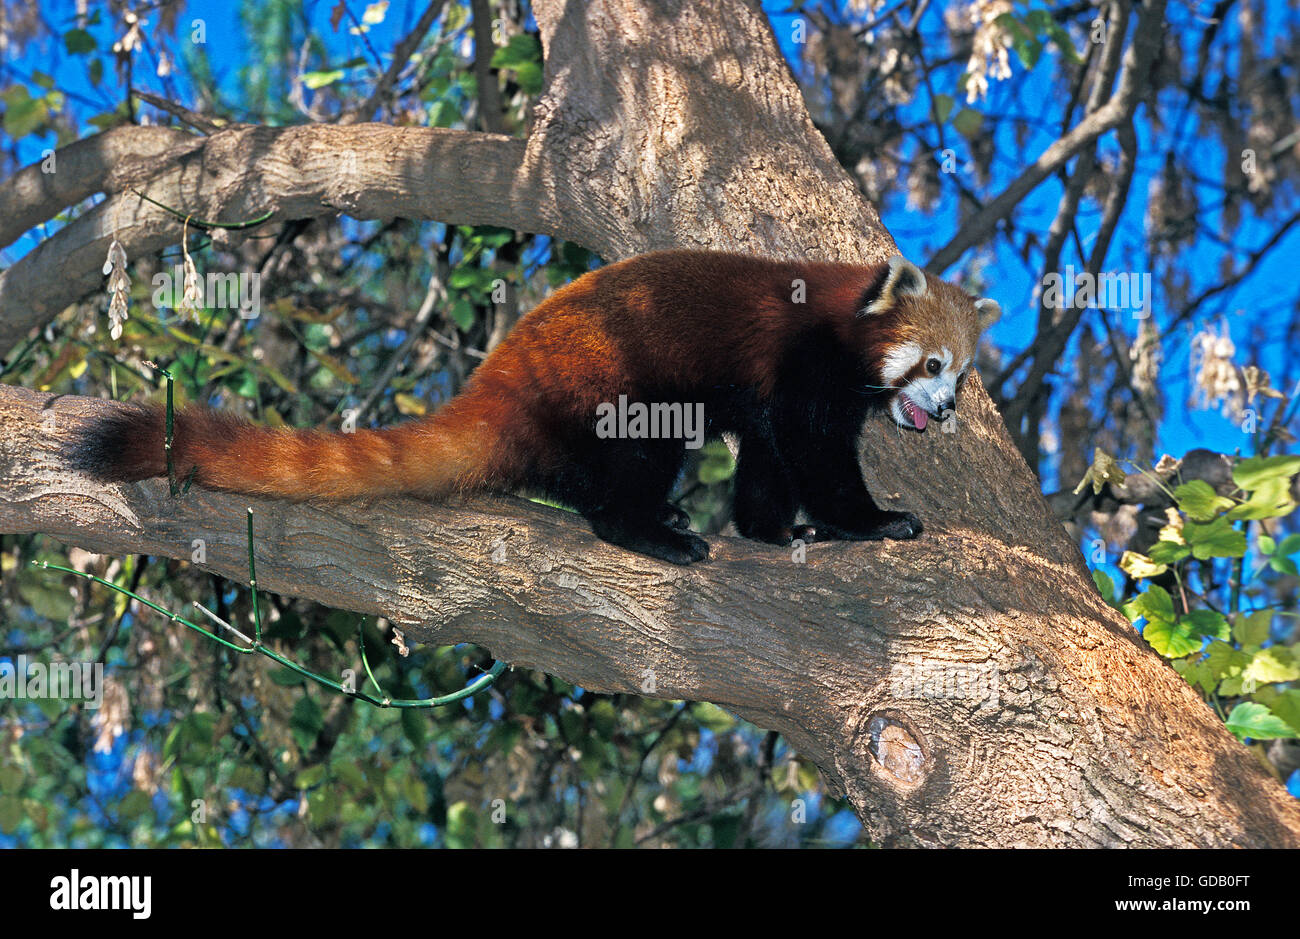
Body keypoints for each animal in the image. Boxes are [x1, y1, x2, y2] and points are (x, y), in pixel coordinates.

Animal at [71, 248, 998, 564]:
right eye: (931, 364)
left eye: (962, 376)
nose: (946, 408)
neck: (841, 320)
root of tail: (500, 377)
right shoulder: (801, 366)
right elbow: (814, 455)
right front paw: (870, 521)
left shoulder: (773, 395)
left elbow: (770, 460)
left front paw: (778, 529)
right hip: (613, 386)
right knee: (632, 465)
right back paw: (649, 529)